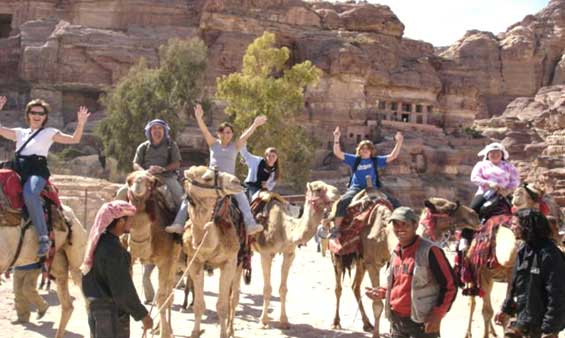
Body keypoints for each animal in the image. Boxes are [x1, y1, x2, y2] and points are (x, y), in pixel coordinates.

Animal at [121, 170, 182, 338]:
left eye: (151, 182)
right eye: (129, 180)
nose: (138, 183)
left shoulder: (165, 261)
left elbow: (161, 298)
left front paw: (165, 333)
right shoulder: (130, 257)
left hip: (175, 259)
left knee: (168, 292)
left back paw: (166, 329)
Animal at [181, 166, 247, 338]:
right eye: (207, 178)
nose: (237, 182)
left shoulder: (229, 262)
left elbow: (222, 306)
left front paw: (224, 333)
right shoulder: (195, 263)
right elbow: (199, 304)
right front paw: (195, 332)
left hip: (240, 262)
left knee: (234, 298)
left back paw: (231, 330)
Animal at [248, 181, 338, 328]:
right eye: (318, 189)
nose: (337, 192)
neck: (284, 228)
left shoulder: (289, 253)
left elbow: (283, 289)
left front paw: (284, 321)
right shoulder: (266, 253)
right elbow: (267, 289)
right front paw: (263, 321)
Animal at [460, 185, 560, 338]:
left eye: (535, 194)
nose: (518, 192)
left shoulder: (510, 275)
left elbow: (506, 313)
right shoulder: (483, 273)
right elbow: (487, 312)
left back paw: (493, 331)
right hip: (471, 269)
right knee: (472, 302)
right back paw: (468, 332)